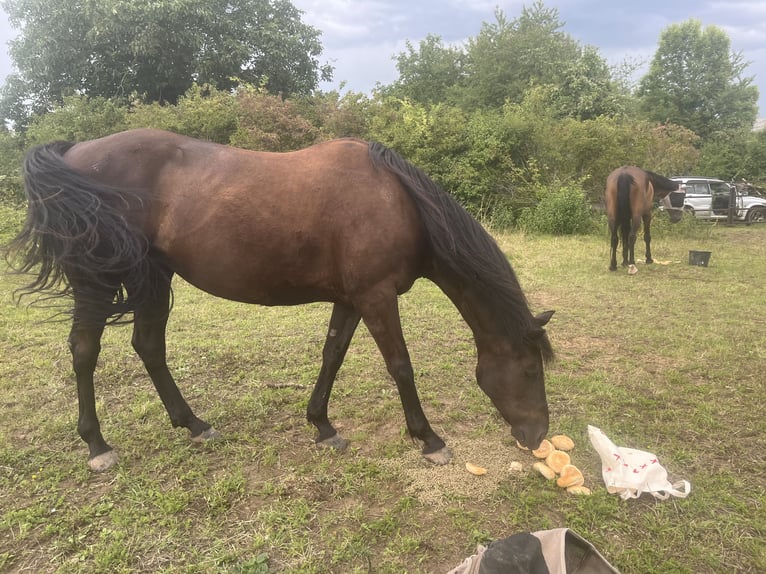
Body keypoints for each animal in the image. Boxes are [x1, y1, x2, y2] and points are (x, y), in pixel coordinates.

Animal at [9, 128, 554, 472]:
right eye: (530, 370)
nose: (537, 437)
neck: (398, 202)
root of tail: (73, 152)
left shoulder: (352, 299)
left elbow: (332, 355)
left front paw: (322, 426)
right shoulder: (377, 297)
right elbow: (401, 366)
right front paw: (429, 439)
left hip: (152, 277)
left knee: (148, 346)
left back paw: (194, 425)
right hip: (96, 281)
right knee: (85, 352)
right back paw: (98, 445)